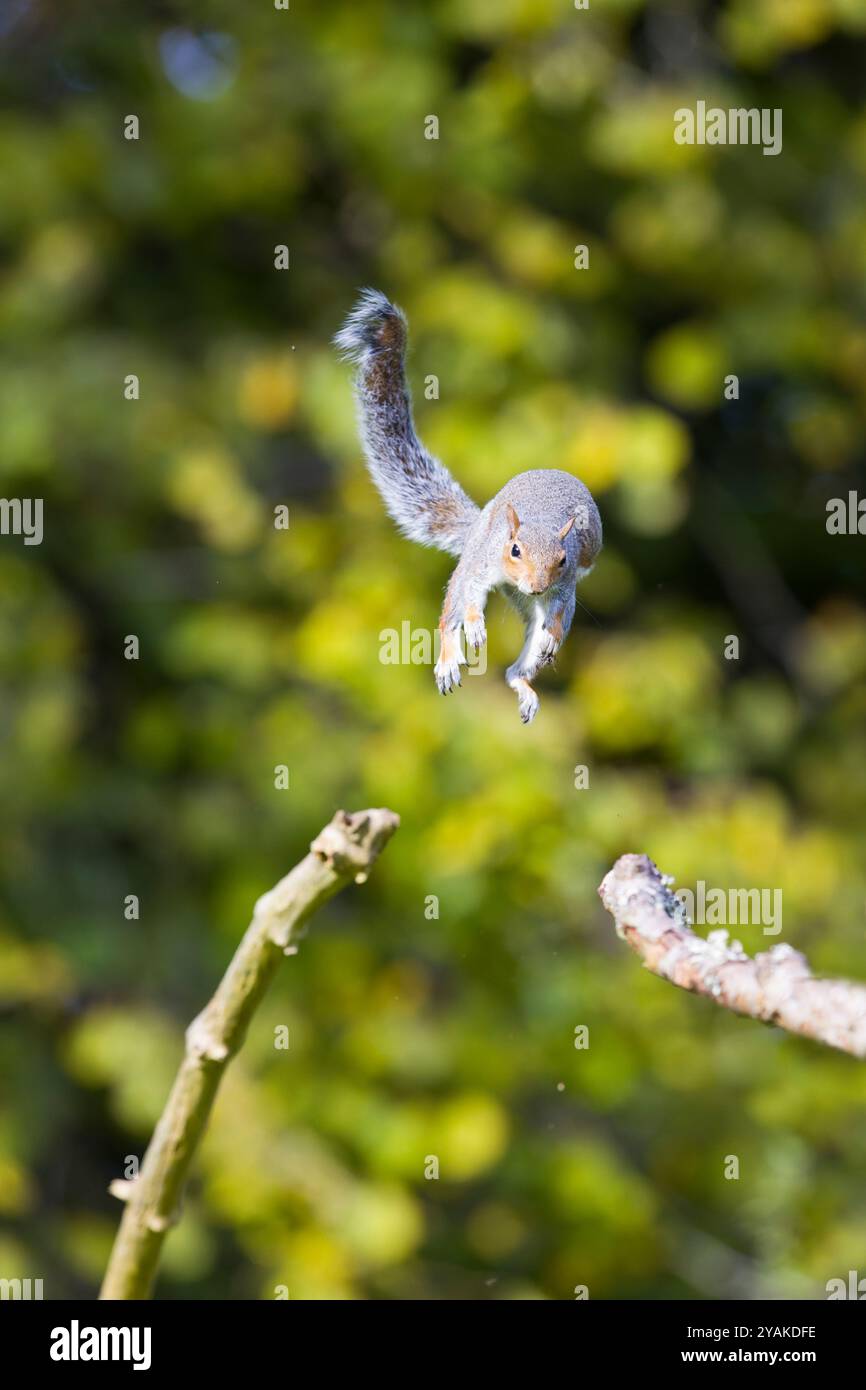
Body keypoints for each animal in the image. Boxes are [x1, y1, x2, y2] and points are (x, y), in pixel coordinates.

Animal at [337, 293, 603, 728]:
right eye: (514, 549)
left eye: (563, 559)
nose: (535, 586)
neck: (539, 520)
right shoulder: (484, 561)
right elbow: (473, 596)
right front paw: (476, 628)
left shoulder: (563, 587)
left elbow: (559, 611)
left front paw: (551, 635)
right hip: (471, 561)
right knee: (452, 610)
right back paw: (450, 658)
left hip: (524, 609)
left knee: (518, 666)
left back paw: (524, 680)